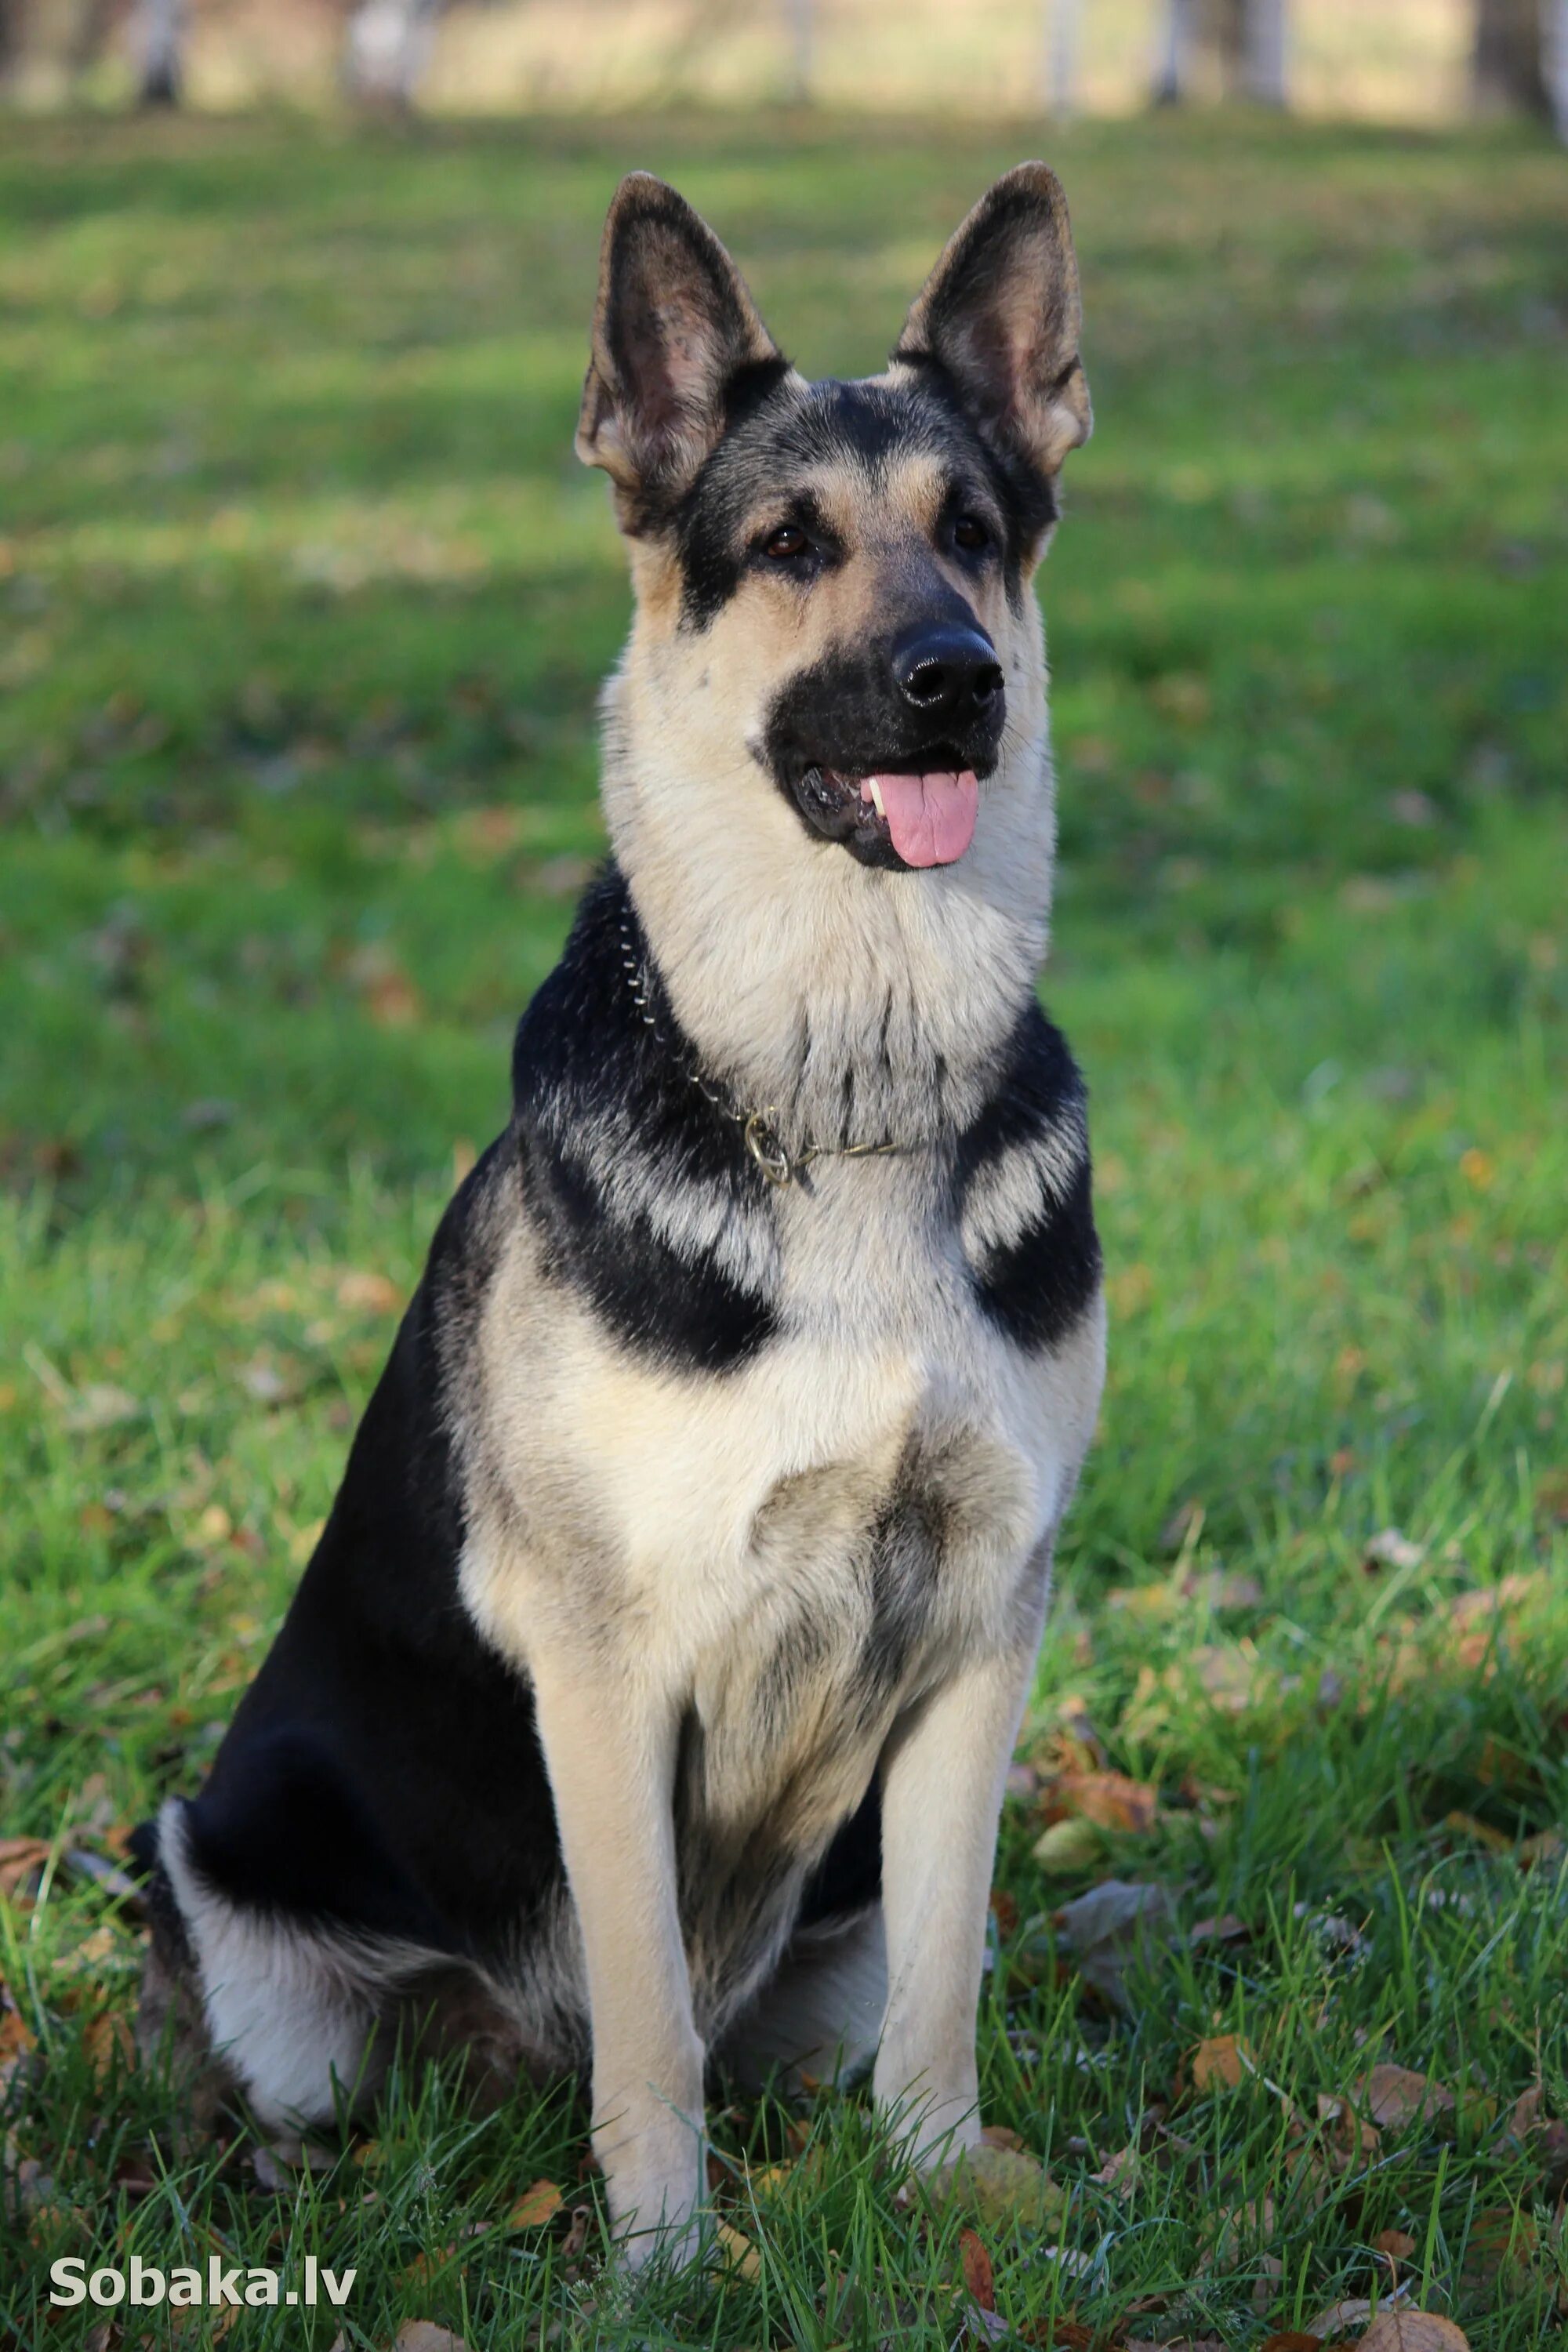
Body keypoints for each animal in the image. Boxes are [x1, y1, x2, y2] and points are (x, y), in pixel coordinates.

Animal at [135, 161, 1105, 2258]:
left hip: (828, 1908)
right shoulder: (605, 1666)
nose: (957, 682)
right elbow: (646, 2009)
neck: (839, 1097)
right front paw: (662, 2259)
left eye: (972, 534)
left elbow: (944, 1981)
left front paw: (952, 2195)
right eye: (787, 543)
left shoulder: (980, 1630)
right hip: (221, 1874)